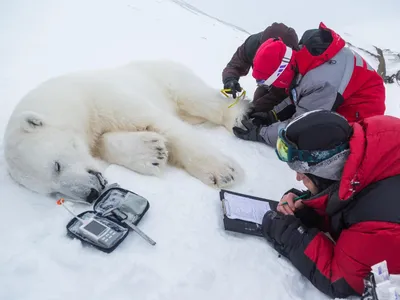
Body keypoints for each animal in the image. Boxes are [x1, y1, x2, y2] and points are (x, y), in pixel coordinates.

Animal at [3, 59, 250, 203]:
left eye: (56, 166)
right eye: (52, 192)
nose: (90, 194)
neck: (74, 97)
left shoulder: (103, 96)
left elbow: (158, 121)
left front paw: (223, 171)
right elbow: (104, 141)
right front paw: (153, 153)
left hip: (167, 78)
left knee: (199, 99)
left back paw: (236, 118)